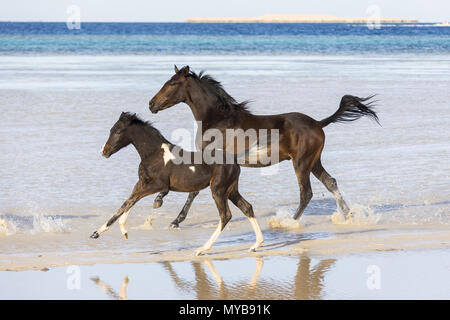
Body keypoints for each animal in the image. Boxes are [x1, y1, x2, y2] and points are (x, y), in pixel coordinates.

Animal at [89, 112, 264, 255]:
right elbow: (127, 202)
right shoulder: (141, 183)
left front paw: (110, 231)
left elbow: (132, 200)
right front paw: (106, 232)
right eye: (111, 130)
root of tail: (234, 160)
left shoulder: (158, 186)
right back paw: (256, 245)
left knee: (225, 215)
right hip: (231, 190)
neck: (154, 154)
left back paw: (202, 249)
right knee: (247, 207)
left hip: (218, 190)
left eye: (118, 131)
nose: (104, 151)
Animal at [149, 65, 380, 225]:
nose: (151, 104)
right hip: (314, 162)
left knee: (306, 193)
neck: (218, 120)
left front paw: (173, 218)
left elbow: (193, 191)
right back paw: (349, 216)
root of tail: (318, 123)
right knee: (330, 182)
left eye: (172, 83)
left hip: (301, 163)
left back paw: (287, 222)